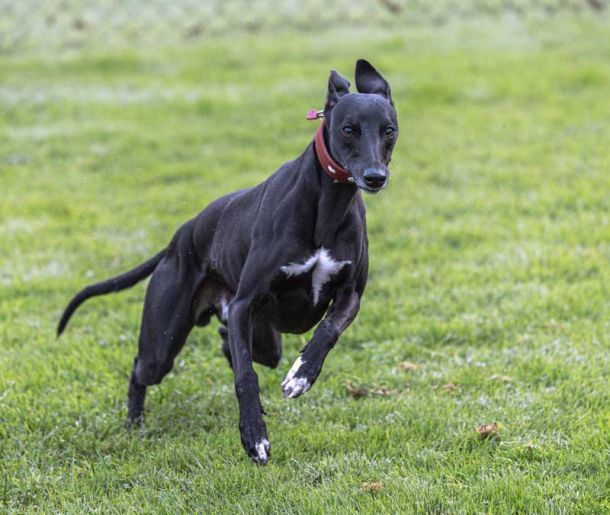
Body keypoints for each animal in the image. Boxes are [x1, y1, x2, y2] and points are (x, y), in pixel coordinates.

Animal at [57, 59, 399, 464]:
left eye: (389, 130)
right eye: (348, 130)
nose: (375, 178)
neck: (327, 204)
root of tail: (177, 240)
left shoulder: (349, 295)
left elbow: (328, 329)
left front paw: (301, 375)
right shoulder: (243, 305)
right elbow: (245, 378)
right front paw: (254, 436)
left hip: (262, 336)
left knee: (231, 343)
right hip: (165, 340)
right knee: (144, 370)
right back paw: (134, 423)